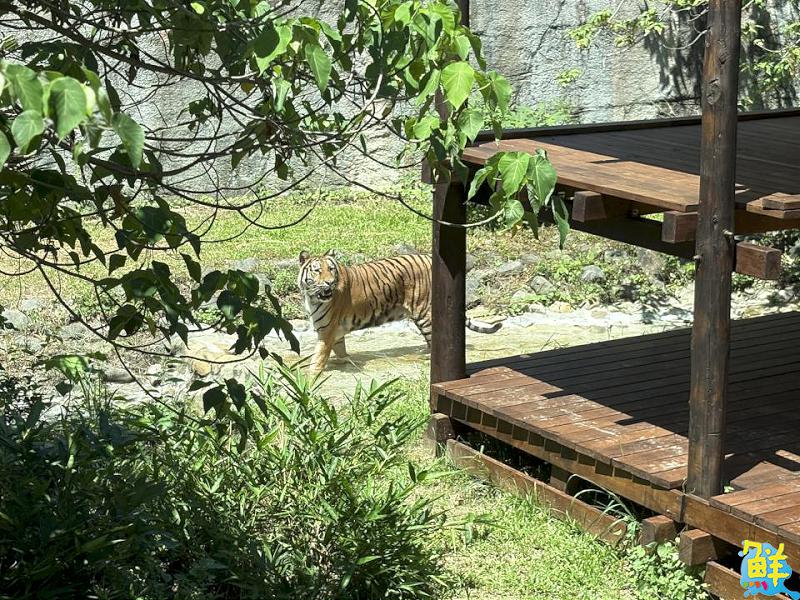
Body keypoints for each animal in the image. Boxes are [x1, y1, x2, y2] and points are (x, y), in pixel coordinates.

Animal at [297, 250, 501, 375]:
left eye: (331, 269)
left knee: (433, 340)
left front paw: (310, 377)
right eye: (317, 271)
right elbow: (340, 350)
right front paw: (344, 361)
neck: (312, 297)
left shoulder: (327, 331)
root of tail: (429, 258)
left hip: (424, 314)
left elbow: (318, 356)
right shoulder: (335, 331)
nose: (330, 282)